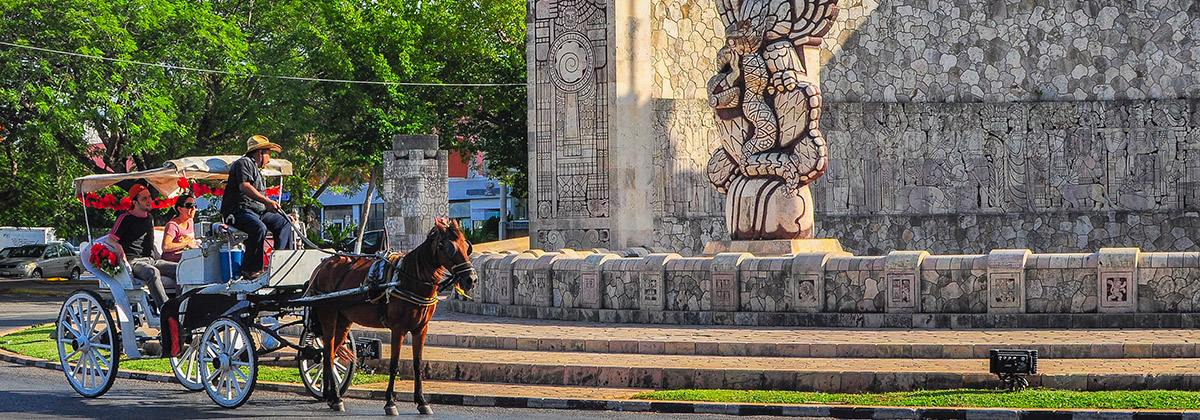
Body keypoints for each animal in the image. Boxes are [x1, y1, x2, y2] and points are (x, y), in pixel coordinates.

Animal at [302, 218, 475, 415]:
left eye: (466, 246)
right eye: (448, 247)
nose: (471, 279)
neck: (409, 279)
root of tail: (323, 265)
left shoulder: (421, 329)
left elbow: (418, 365)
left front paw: (422, 401)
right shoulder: (398, 329)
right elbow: (394, 364)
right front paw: (390, 403)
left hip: (343, 321)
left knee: (329, 353)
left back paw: (331, 397)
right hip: (328, 316)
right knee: (329, 353)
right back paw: (336, 397)